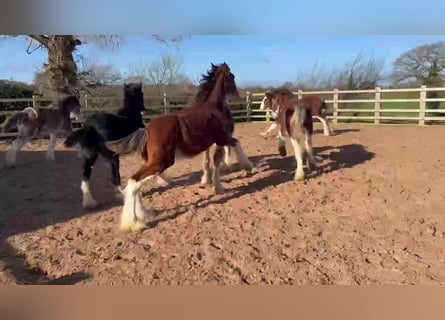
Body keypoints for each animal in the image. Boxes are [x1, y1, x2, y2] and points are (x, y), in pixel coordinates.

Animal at [105, 62, 253, 231]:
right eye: (232, 76)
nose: (237, 95)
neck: (213, 107)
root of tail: (147, 130)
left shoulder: (217, 141)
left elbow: (216, 160)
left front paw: (217, 186)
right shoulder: (222, 138)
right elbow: (236, 144)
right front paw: (247, 166)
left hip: (154, 161)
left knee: (135, 184)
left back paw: (142, 215)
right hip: (162, 162)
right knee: (134, 182)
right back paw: (134, 223)